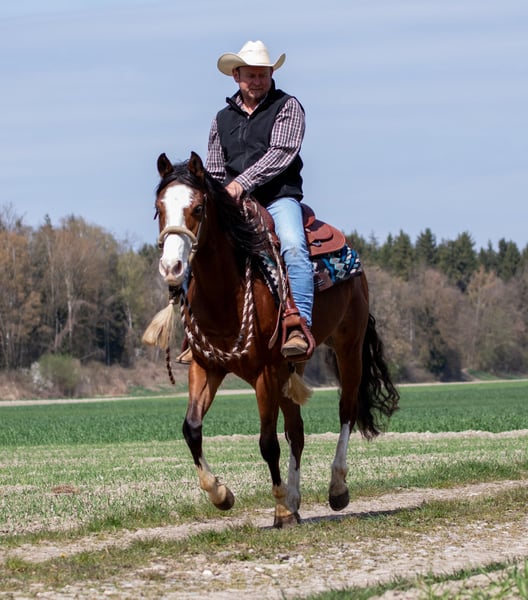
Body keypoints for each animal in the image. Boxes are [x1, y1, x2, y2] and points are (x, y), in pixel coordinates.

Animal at [147, 151, 399, 528]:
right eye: (158, 208)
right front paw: (221, 494)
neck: (227, 293)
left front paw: (278, 505)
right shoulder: (206, 367)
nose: (172, 267)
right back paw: (295, 501)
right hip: (292, 366)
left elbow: (267, 442)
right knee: (297, 431)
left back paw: (336, 488)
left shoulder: (264, 372)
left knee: (346, 411)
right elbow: (191, 429)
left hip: (348, 348)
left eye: (198, 208)